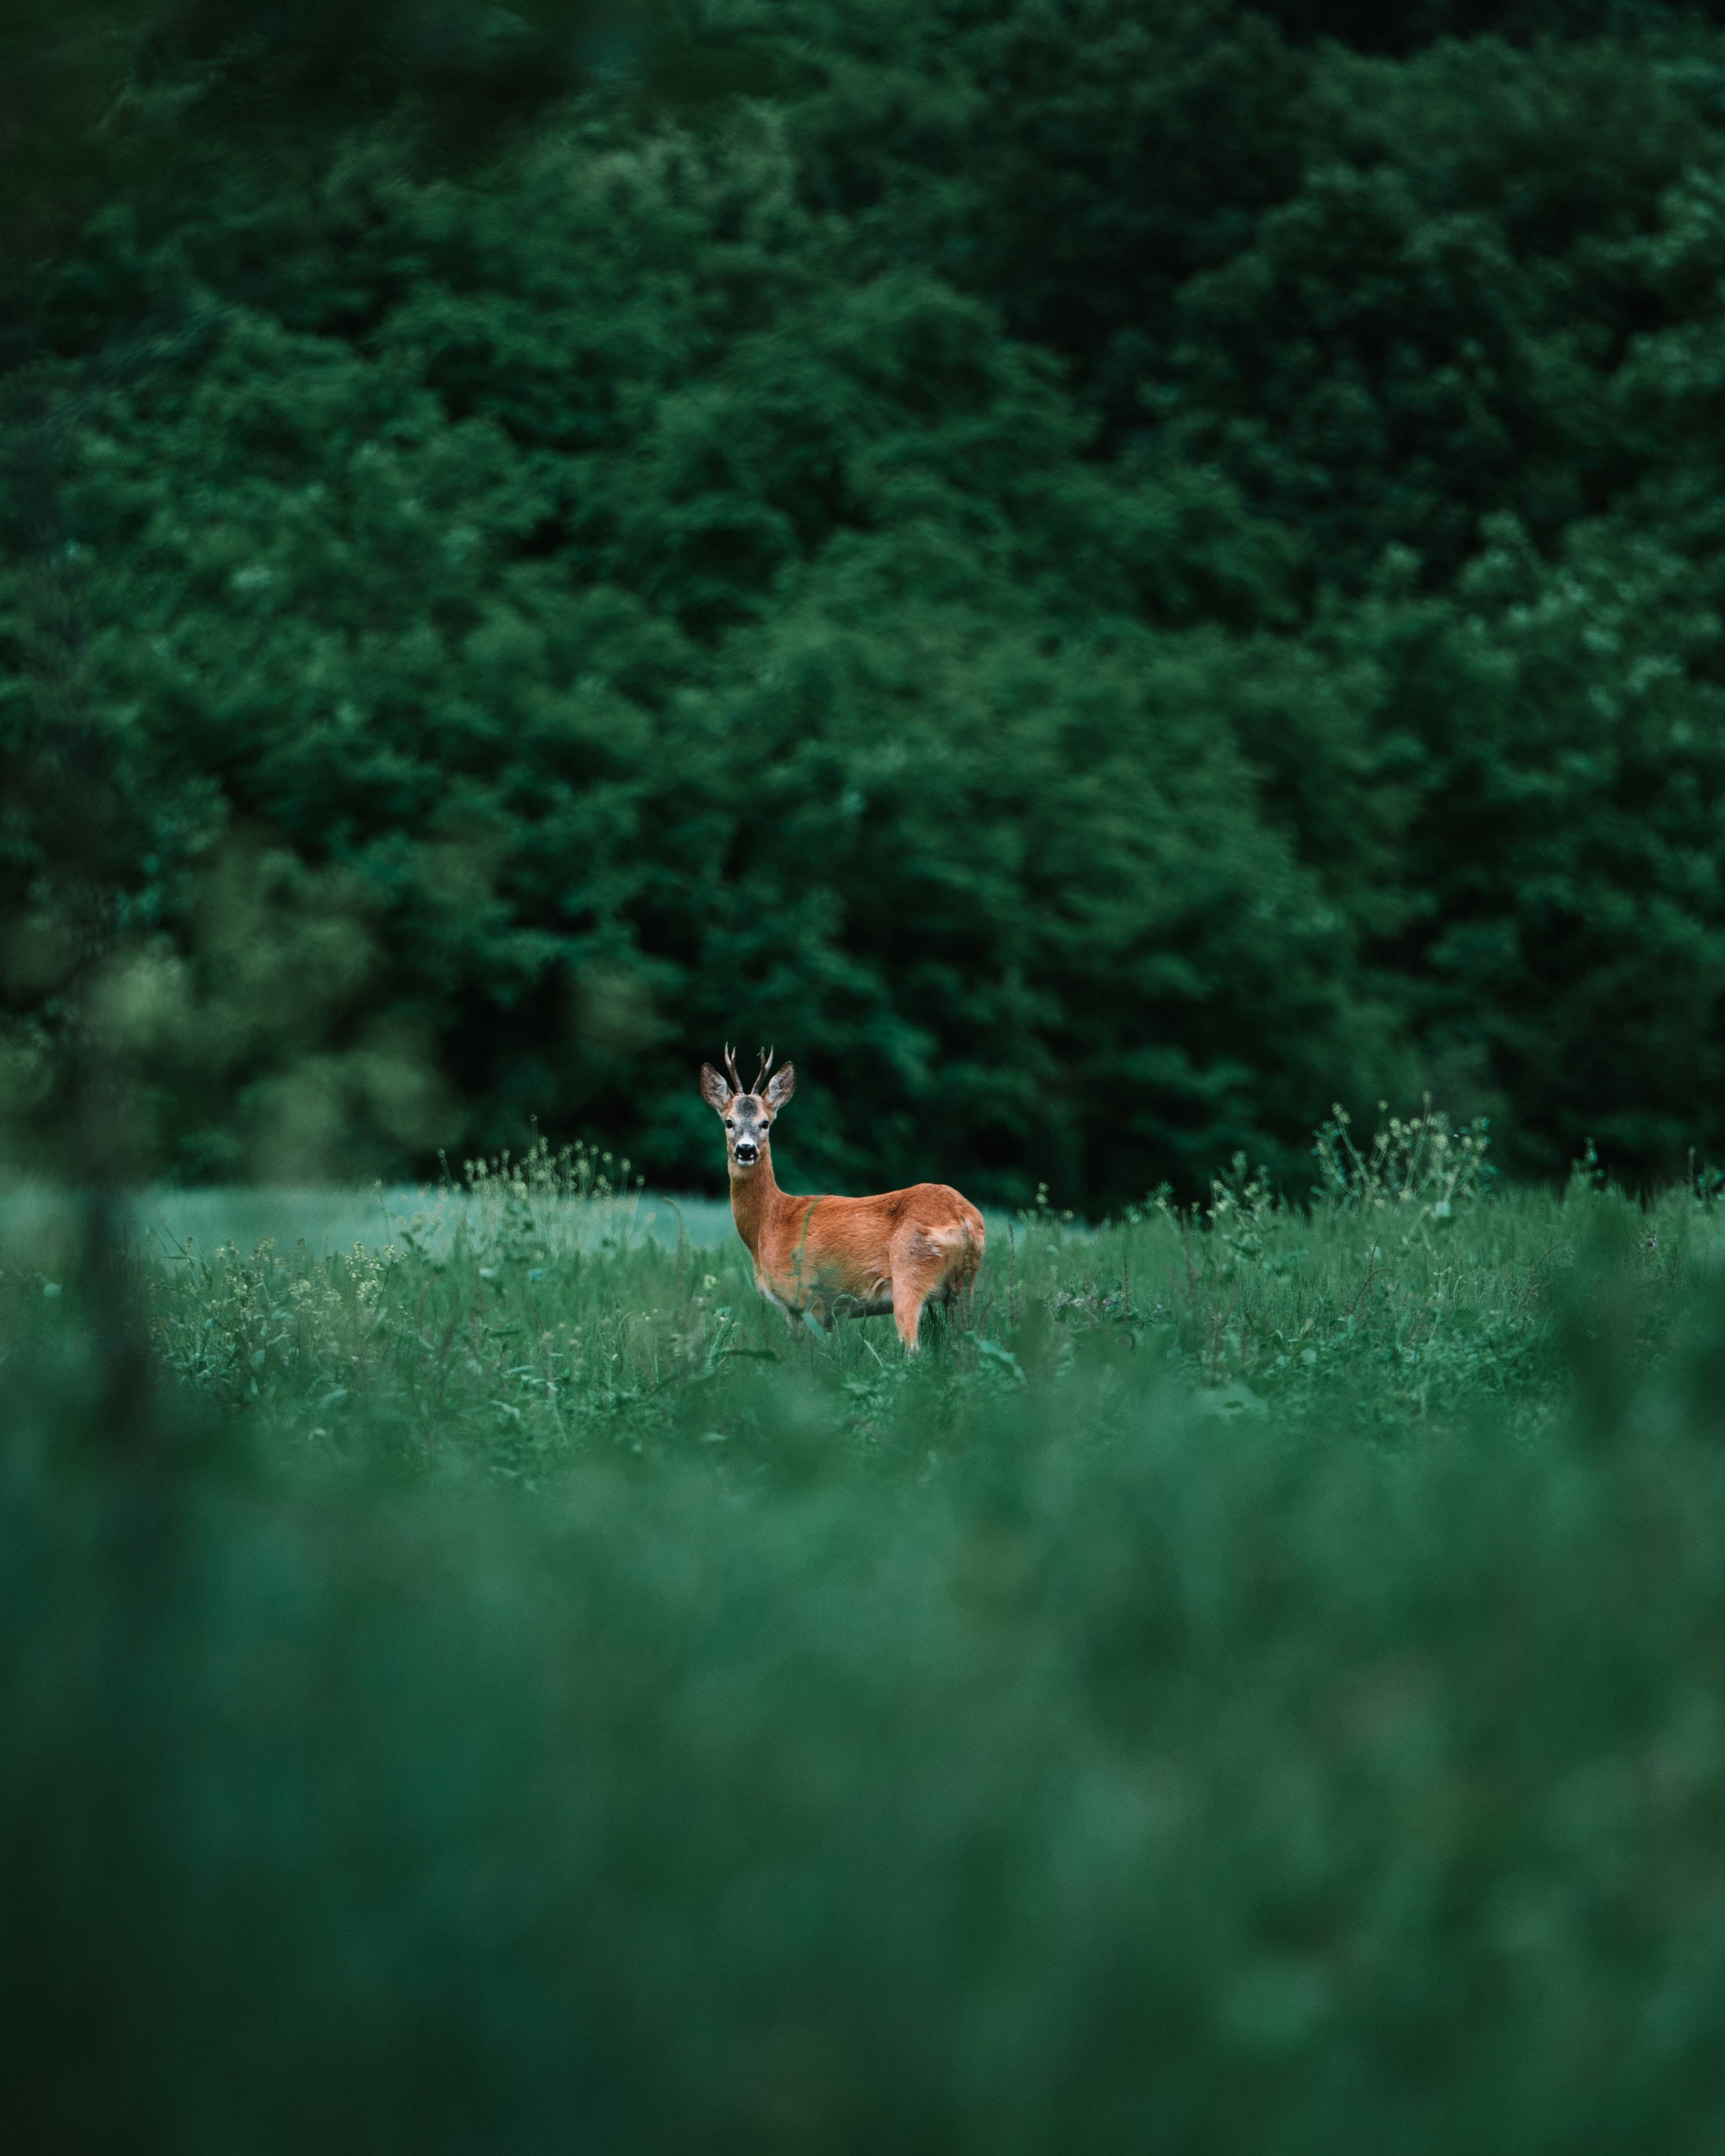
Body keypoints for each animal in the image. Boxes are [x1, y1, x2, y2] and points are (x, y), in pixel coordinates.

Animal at [699, 1046, 985, 1352]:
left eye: (765, 1123)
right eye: (729, 1122)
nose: (746, 1150)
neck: (769, 1223)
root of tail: (963, 1218)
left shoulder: (804, 1298)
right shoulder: (827, 1314)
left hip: (911, 1272)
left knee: (912, 1347)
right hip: (963, 1287)